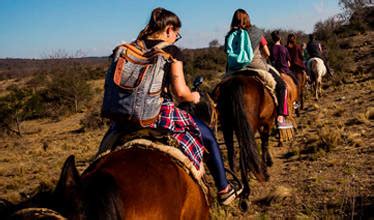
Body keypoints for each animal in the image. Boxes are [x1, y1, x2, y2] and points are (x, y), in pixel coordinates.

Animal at [216, 70, 298, 210]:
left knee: (231, 153)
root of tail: (235, 83)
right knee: (244, 152)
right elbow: (264, 142)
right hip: (248, 125)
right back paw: (246, 191)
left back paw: (237, 185)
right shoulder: (267, 122)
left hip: (228, 125)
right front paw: (266, 167)